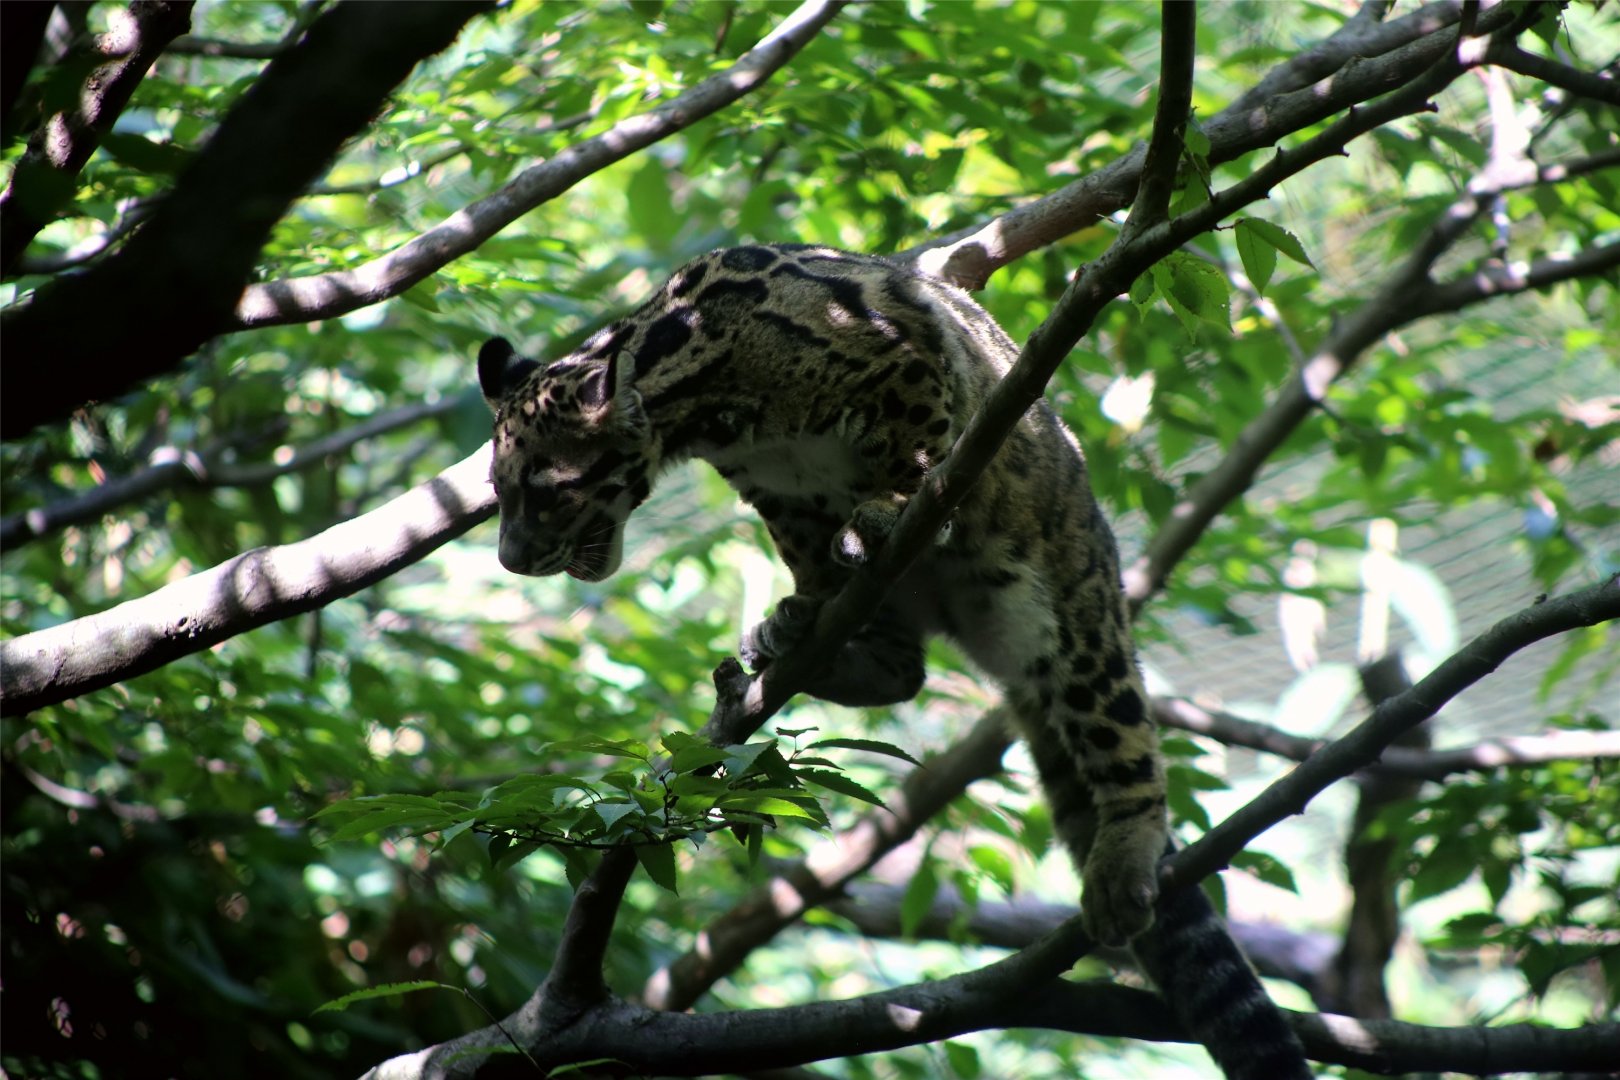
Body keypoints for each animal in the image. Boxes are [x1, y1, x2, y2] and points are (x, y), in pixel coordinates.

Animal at [476, 242, 1310, 1079]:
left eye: (547, 491)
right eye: (495, 490)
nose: (510, 559)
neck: (706, 397)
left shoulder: (906, 360)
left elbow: (917, 447)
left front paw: (887, 505)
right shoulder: (780, 493)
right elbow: (812, 555)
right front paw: (810, 603)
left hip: (1075, 618)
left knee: (1125, 742)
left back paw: (1124, 861)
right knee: (905, 671)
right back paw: (811, 644)